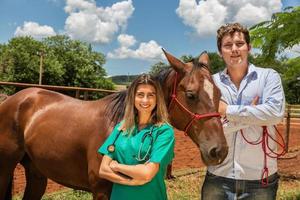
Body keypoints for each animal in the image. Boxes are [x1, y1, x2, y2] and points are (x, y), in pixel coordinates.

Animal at [0, 50, 226, 198]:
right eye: (191, 95)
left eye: (218, 93)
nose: (219, 150)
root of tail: (14, 98)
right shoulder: (101, 191)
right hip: (5, 170)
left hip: (37, 173)